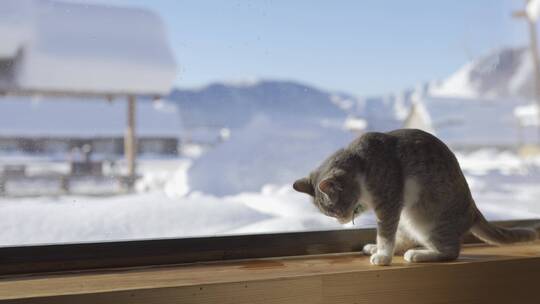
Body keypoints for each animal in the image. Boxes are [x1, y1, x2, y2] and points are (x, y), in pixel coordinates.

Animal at [294, 129, 536, 266]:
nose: (341, 221)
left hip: (427, 220)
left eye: (335, 210)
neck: (361, 162)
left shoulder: (389, 203)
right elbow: (387, 235)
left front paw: (383, 256)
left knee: (451, 252)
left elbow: (385, 234)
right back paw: (376, 248)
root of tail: (473, 210)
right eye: (330, 214)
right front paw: (379, 250)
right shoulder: (388, 208)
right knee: (404, 239)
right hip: (408, 217)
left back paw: (419, 255)